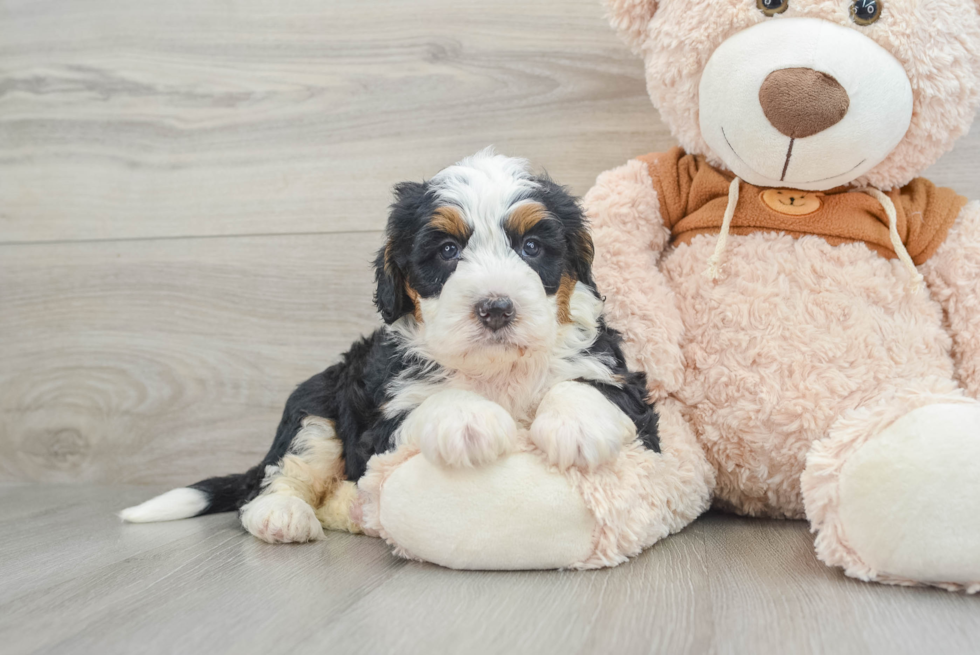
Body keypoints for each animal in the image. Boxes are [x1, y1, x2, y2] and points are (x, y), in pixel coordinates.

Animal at [120, 151, 660, 544]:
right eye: (447, 251)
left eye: (531, 247)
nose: (495, 308)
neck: (496, 369)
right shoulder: (379, 423)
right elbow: (431, 403)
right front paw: (469, 420)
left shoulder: (623, 382)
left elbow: (588, 386)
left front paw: (577, 425)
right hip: (316, 409)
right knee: (278, 475)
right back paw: (282, 515)